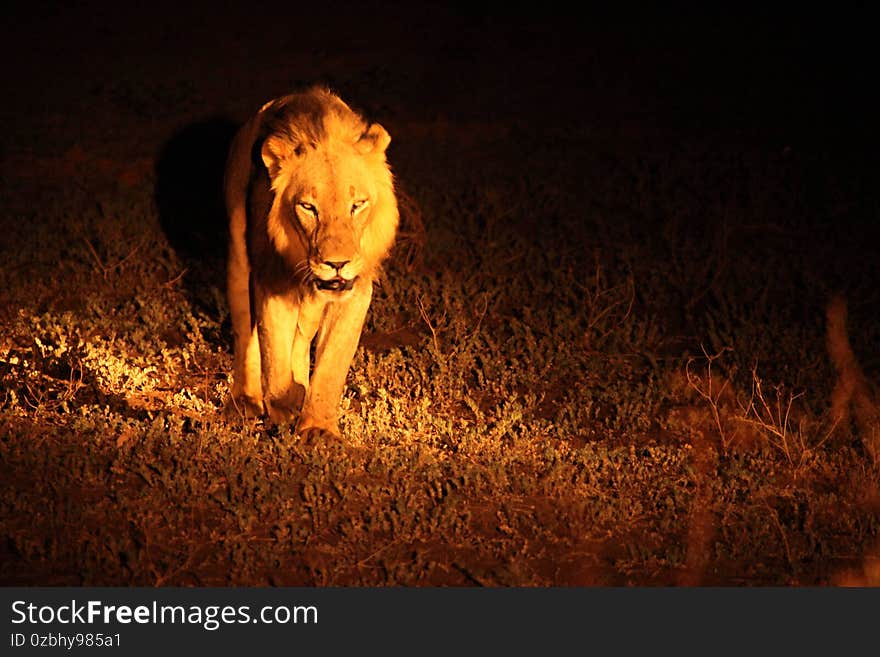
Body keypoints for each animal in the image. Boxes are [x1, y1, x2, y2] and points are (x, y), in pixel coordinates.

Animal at [223, 84, 398, 438]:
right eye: (308, 207)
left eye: (357, 205)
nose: (337, 263)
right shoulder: (271, 276)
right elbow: (273, 352)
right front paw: (287, 401)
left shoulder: (355, 292)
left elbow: (332, 364)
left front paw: (318, 428)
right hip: (237, 254)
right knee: (245, 330)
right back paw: (246, 400)